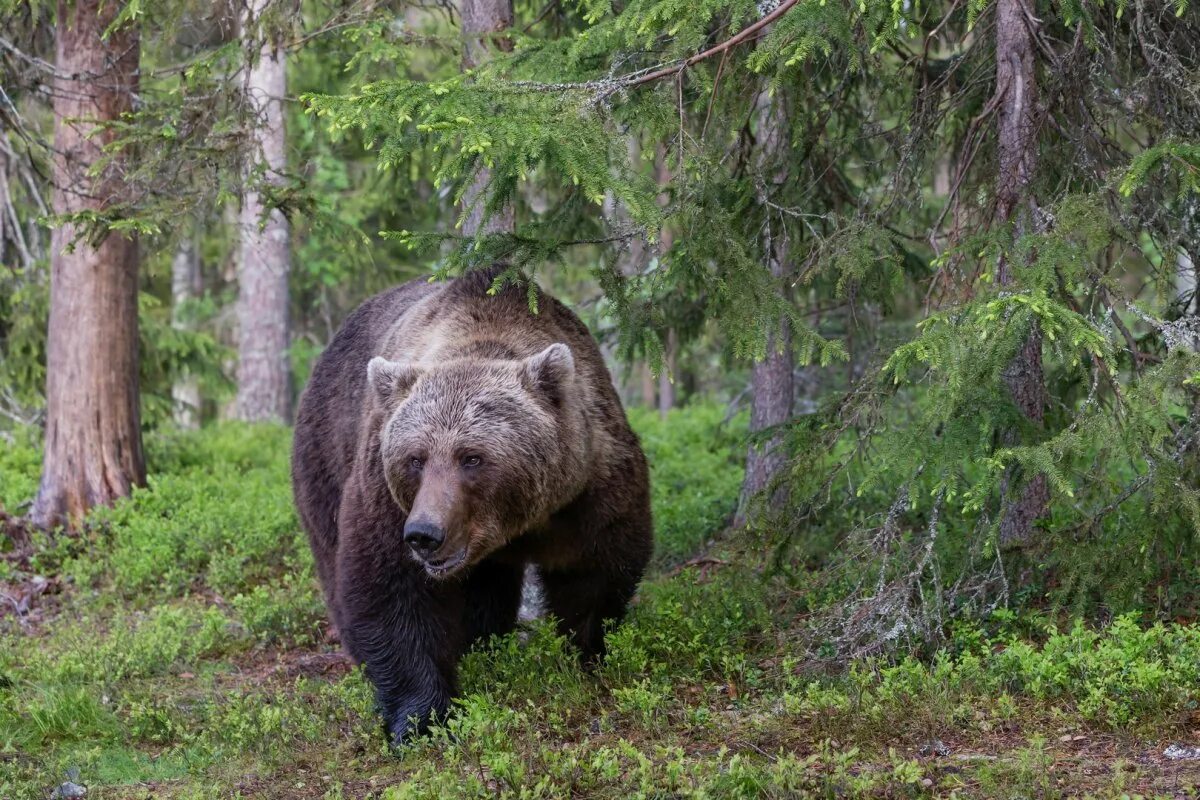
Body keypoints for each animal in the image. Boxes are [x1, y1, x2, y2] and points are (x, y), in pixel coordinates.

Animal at [292, 266, 657, 743]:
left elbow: (594, 571)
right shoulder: (385, 497)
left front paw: (587, 653)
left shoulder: (589, 483)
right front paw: (421, 717)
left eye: (472, 458)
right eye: (415, 458)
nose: (425, 534)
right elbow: (391, 591)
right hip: (325, 455)